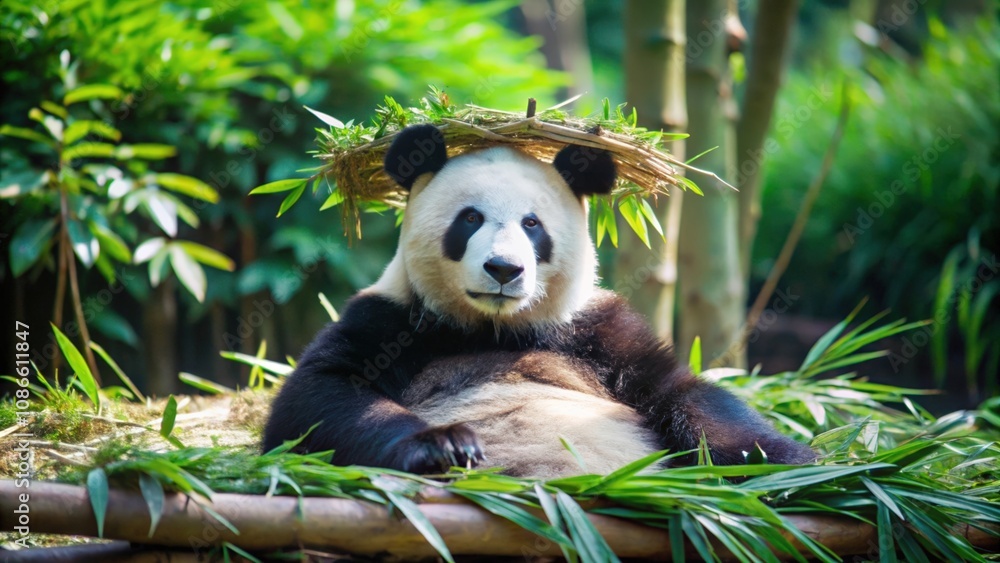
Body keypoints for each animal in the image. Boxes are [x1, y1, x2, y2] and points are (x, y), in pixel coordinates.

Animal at [262, 124, 815, 478]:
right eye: (470, 219)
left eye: (532, 225)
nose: (504, 270)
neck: (494, 325)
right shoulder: (391, 319)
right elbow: (319, 395)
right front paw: (444, 446)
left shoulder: (594, 329)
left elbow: (681, 395)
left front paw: (795, 464)